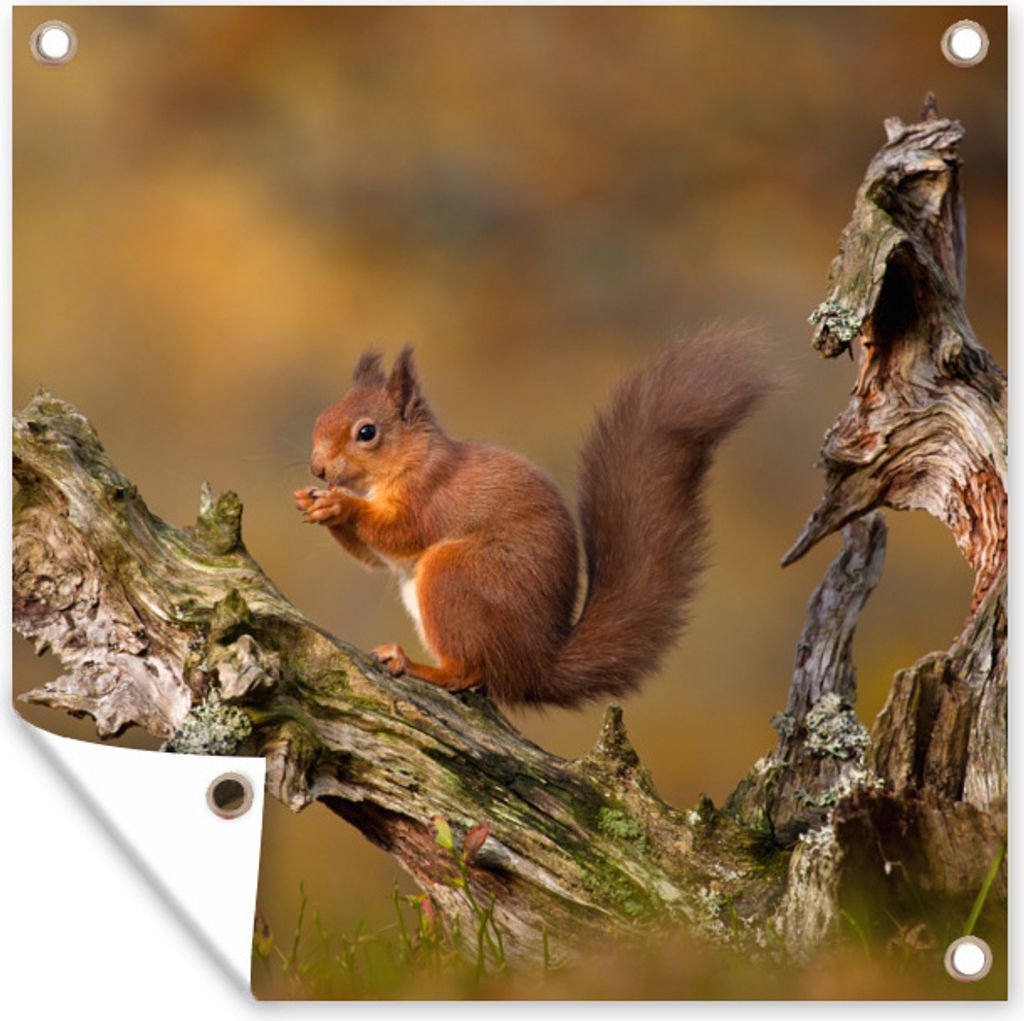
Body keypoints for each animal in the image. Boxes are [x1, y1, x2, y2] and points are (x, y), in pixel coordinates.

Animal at [294, 327, 773, 707]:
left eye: (367, 432)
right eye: (320, 419)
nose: (317, 468)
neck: (412, 460)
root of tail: (535, 666)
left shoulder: (433, 496)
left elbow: (401, 533)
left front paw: (341, 504)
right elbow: (374, 558)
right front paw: (313, 502)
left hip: (455, 575)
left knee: (468, 671)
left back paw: (417, 665)